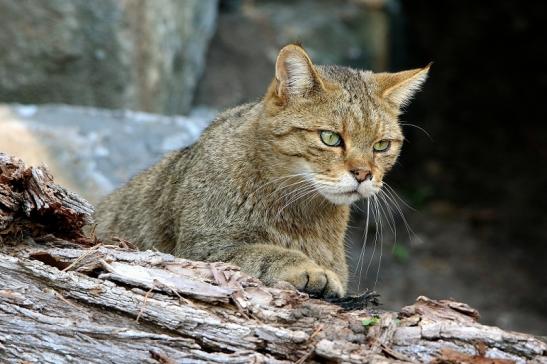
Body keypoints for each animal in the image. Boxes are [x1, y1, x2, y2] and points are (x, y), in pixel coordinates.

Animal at [95, 44, 432, 298]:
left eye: (381, 145)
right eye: (330, 138)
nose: (363, 174)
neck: (300, 212)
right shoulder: (201, 250)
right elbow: (264, 252)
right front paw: (308, 269)